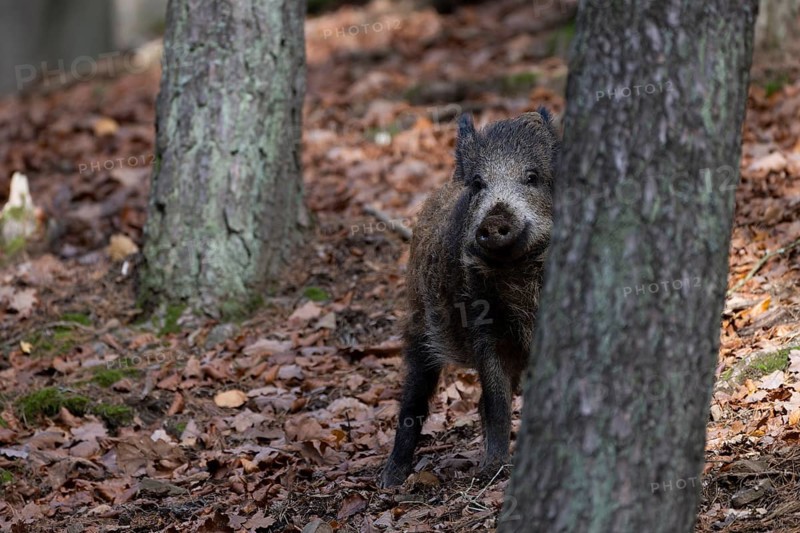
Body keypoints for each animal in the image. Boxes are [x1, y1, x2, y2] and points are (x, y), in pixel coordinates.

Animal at [380, 109, 560, 488]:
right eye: (478, 183)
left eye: (532, 177)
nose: (494, 219)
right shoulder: (483, 328)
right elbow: (497, 401)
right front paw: (494, 471)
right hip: (418, 323)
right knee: (414, 397)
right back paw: (391, 479)